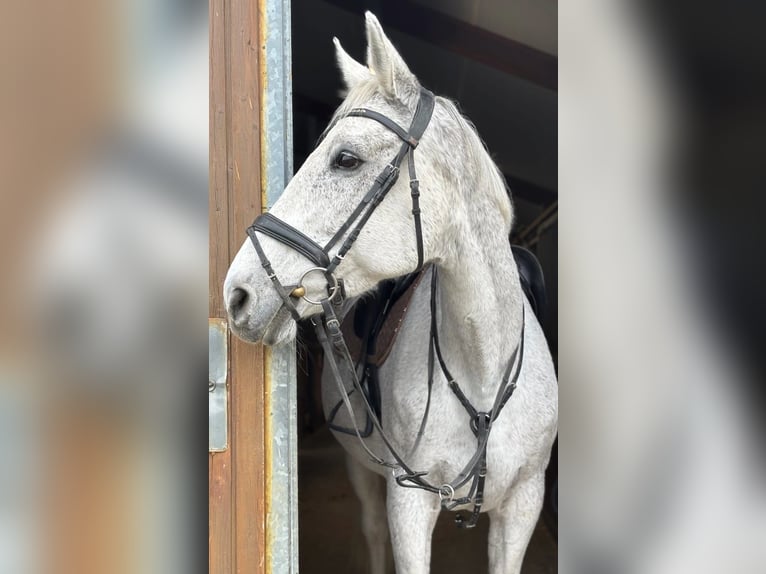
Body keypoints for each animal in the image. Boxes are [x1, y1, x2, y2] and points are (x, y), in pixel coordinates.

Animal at [224, 12, 557, 574]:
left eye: (346, 159)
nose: (237, 295)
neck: (482, 374)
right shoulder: (409, 505)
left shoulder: (523, 506)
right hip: (363, 471)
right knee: (372, 531)